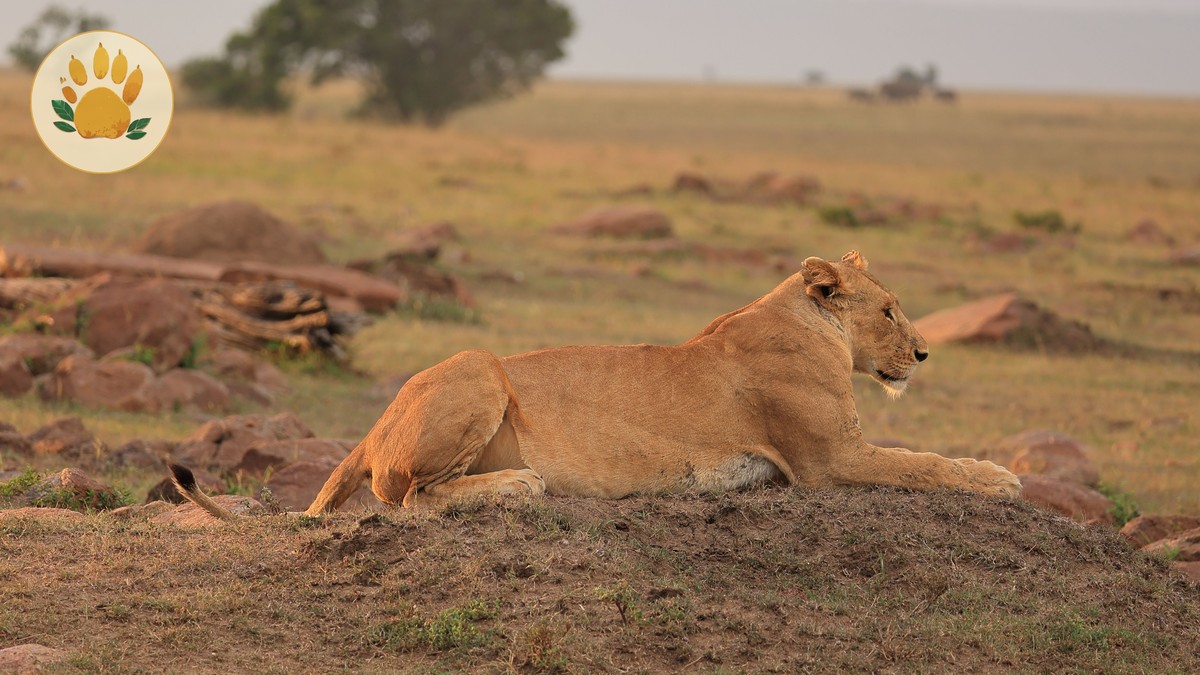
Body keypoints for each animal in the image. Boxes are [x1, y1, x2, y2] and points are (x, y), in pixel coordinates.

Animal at [172, 251, 1020, 519]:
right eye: (889, 309)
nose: (923, 353)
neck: (808, 323)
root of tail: (379, 418)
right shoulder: (827, 460)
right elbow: (927, 462)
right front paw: (1002, 478)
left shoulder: (820, 459)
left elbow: (922, 457)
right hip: (480, 364)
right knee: (403, 494)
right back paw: (517, 485)